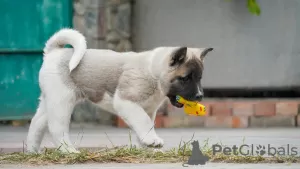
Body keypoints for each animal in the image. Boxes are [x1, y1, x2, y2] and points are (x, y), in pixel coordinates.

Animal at [26, 28, 213, 153]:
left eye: (199, 78)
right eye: (185, 78)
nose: (200, 96)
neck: (153, 72)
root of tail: (53, 52)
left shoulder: (148, 109)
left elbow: (145, 125)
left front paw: (144, 146)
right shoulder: (126, 102)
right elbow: (143, 122)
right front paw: (152, 141)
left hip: (50, 101)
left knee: (36, 123)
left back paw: (33, 151)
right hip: (62, 101)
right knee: (57, 128)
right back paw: (69, 151)